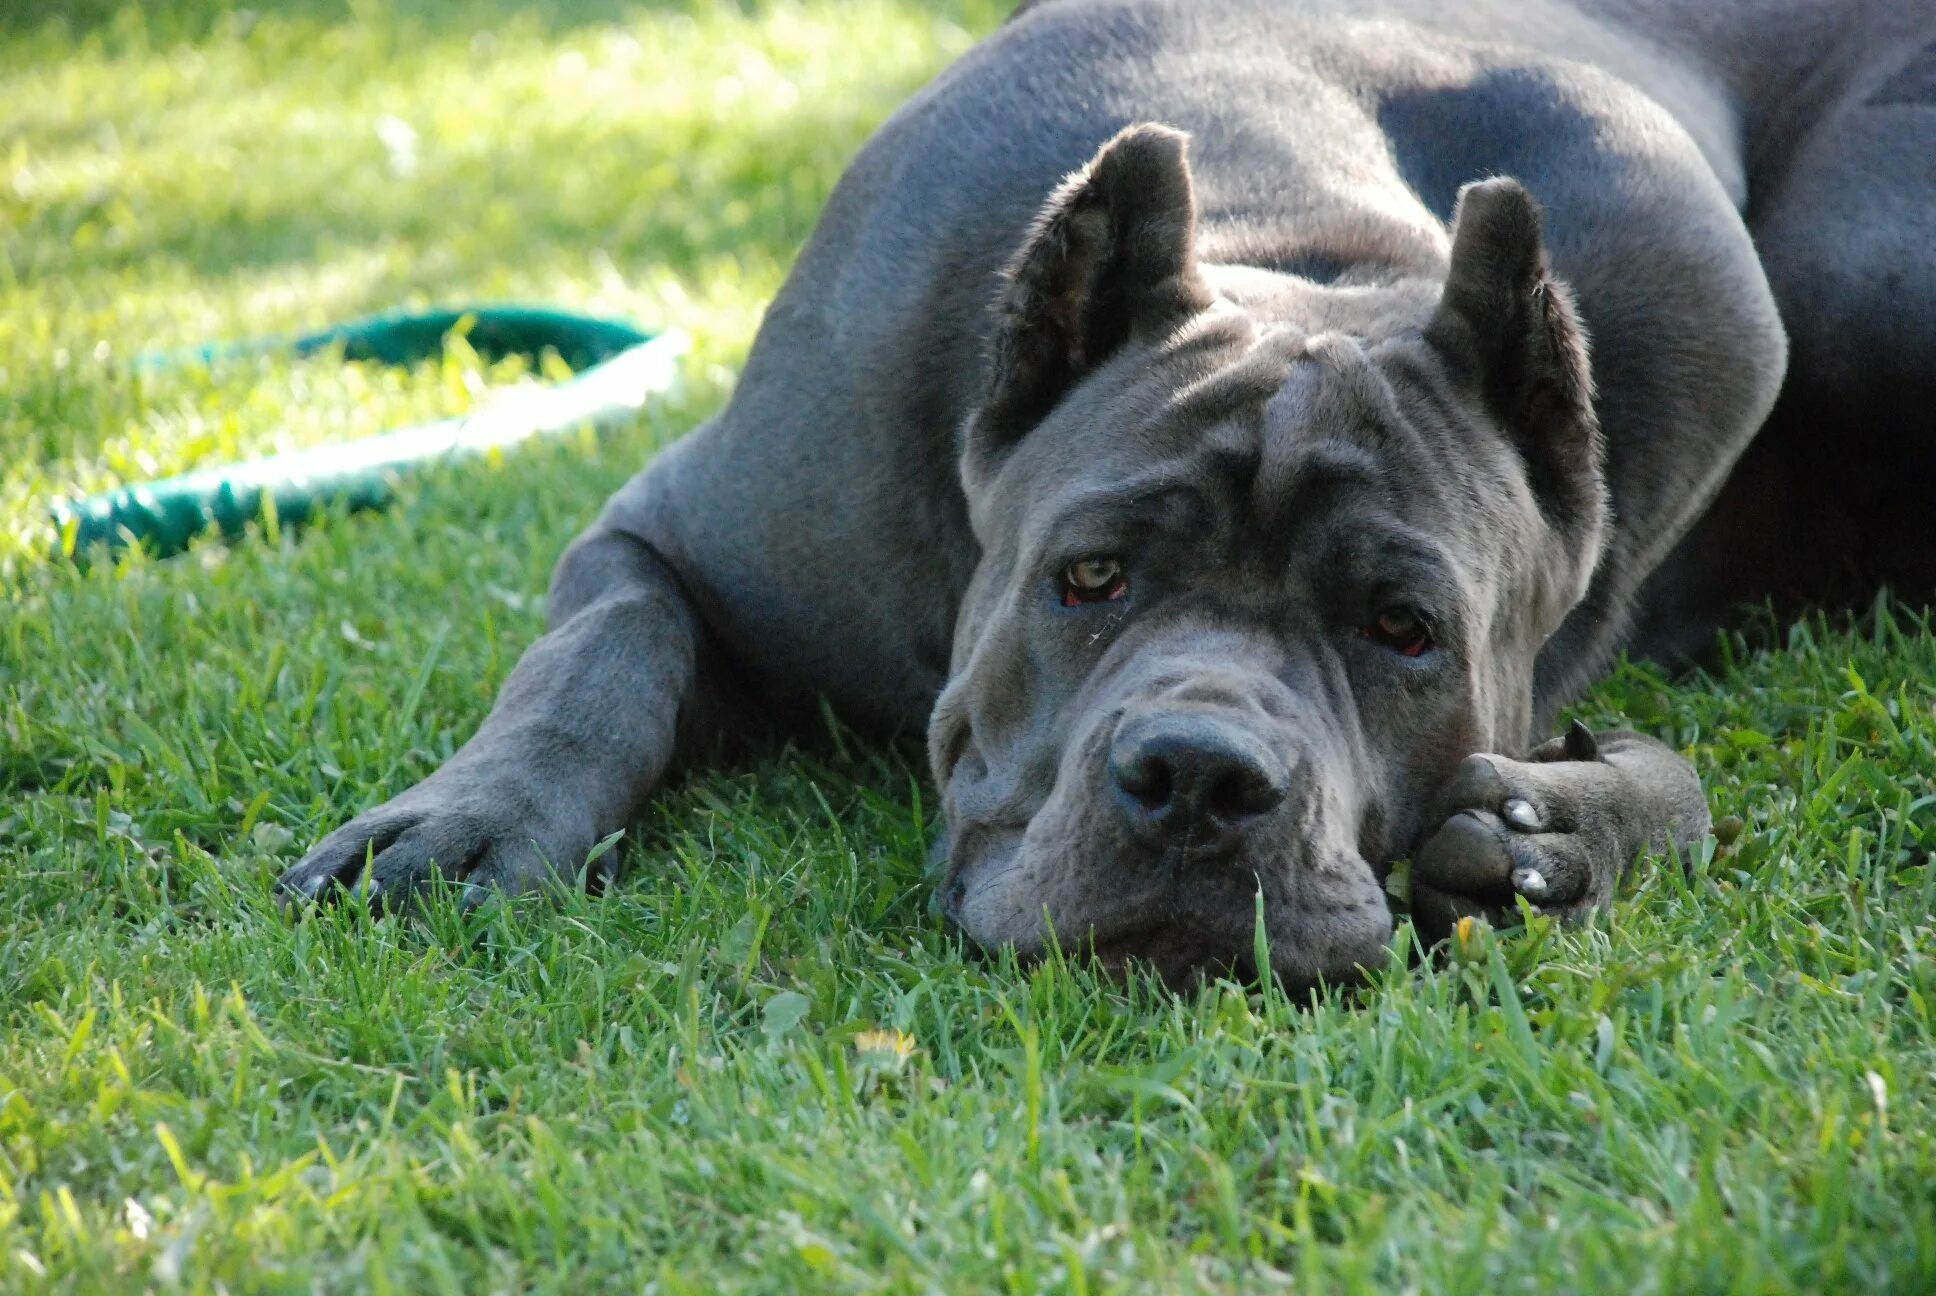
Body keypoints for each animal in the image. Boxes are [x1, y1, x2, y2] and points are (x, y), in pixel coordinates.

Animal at [280, 0, 1936, 984]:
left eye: (1403, 631)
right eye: (1090, 577)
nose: (1201, 779)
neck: (1303, 253)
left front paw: (1563, 840)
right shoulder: (673, 531)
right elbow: (601, 655)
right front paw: (472, 823)